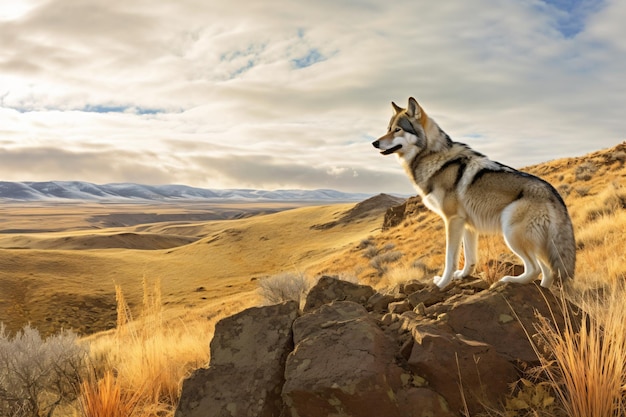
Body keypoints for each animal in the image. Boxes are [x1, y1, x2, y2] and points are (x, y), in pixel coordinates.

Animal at [370, 98, 576, 290]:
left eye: (397, 130)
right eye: (388, 128)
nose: (374, 143)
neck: (432, 156)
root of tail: (554, 193)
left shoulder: (452, 220)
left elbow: (450, 259)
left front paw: (442, 283)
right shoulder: (468, 224)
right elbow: (469, 259)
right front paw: (462, 276)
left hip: (511, 233)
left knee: (535, 269)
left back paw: (508, 281)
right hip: (534, 243)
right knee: (548, 272)